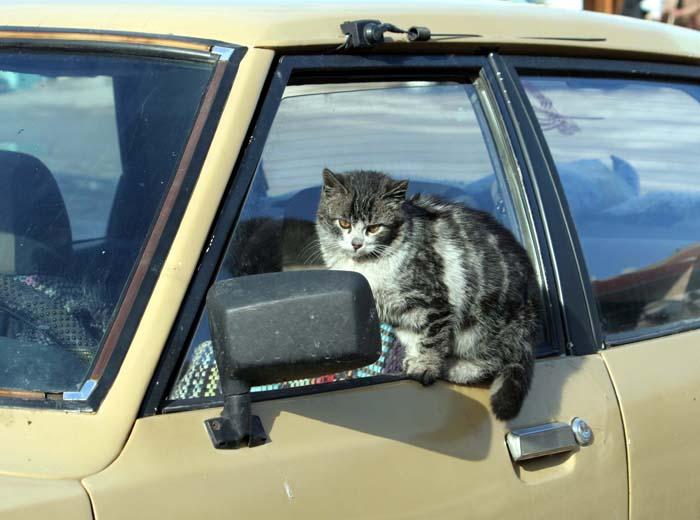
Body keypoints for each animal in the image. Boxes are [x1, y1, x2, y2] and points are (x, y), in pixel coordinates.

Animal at [314, 169, 540, 420]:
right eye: (343, 223)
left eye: (374, 228)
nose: (356, 244)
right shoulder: (398, 312)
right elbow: (411, 337)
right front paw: (414, 359)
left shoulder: (435, 302)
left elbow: (433, 338)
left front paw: (426, 367)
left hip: (486, 324)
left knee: (494, 358)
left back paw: (457, 368)